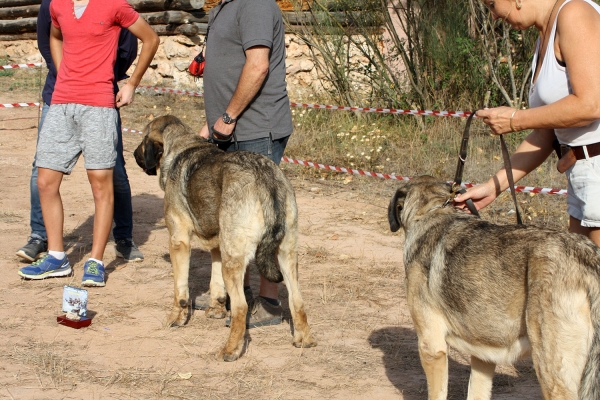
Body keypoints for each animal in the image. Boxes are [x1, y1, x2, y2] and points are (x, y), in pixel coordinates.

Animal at [133, 115, 316, 360]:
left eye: (143, 140)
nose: (134, 155)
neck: (181, 146)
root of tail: (265, 176)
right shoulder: (218, 246)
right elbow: (215, 282)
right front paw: (216, 309)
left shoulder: (178, 241)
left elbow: (180, 291)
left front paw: (176, 319)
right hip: (285, 256)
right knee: (297, 300)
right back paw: (303, 340)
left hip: (234, 259)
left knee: (241, 307)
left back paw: (231, 350)